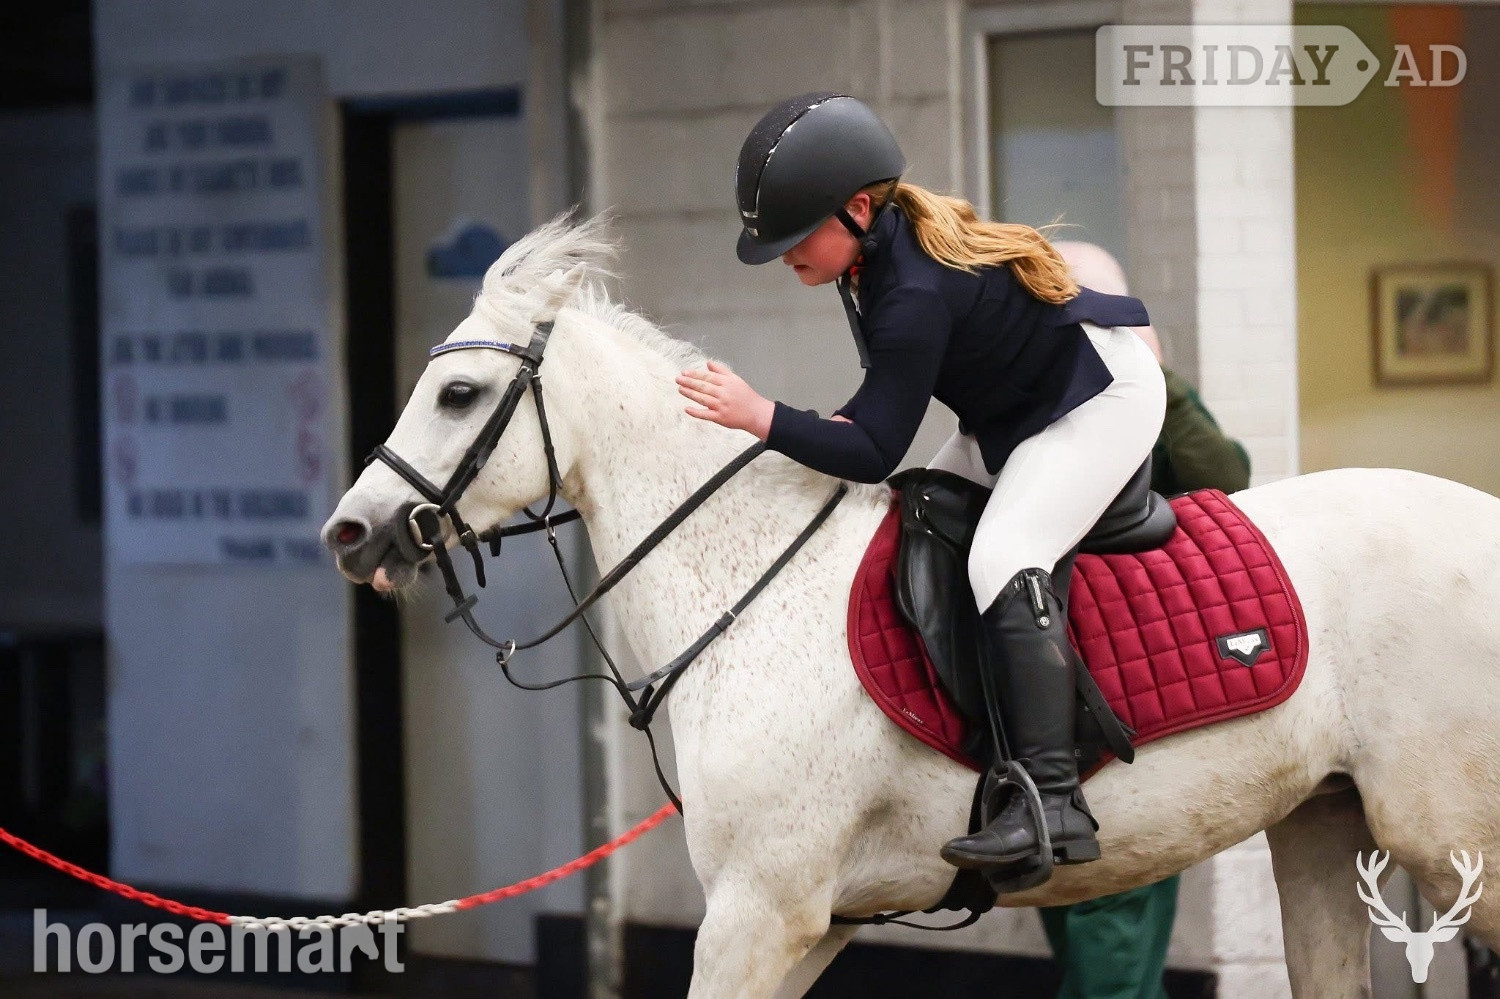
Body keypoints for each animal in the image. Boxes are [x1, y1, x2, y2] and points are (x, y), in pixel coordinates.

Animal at [323, 213, 1500, 999]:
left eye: (459, 394)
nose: (350, 533)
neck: (742, 582)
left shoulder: (760, 907)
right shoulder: (819, 918)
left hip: (1448, 837)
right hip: (1322, 824)